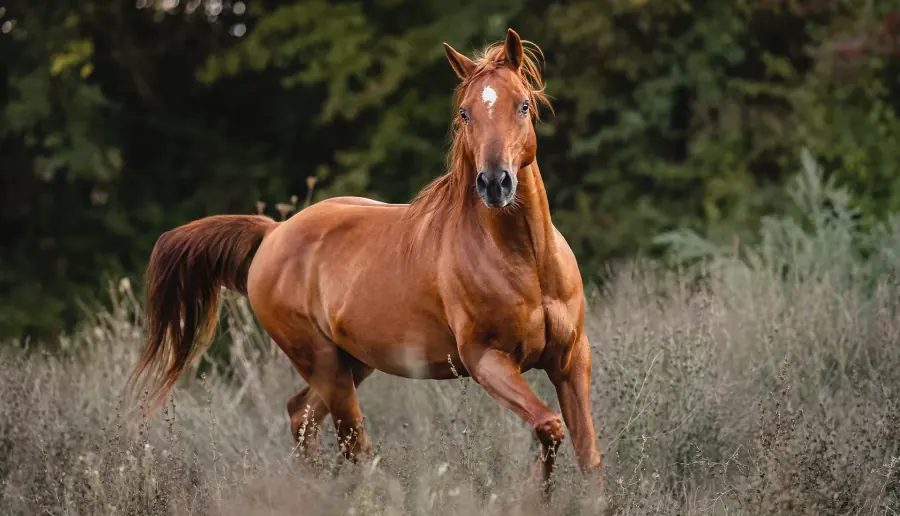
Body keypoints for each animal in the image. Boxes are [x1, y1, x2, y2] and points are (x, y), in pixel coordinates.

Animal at [129, 28, 603, 492]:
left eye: (522, 105)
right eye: (465, 113)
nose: (494, 183)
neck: (526, 263)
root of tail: (273, 233)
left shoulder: (571, 360)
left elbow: (587, 454)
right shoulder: (486, 360)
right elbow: (549, 427)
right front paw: (534, 494)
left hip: (350, 363)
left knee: (302, 416)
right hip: (326, 366)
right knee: (353, 443)